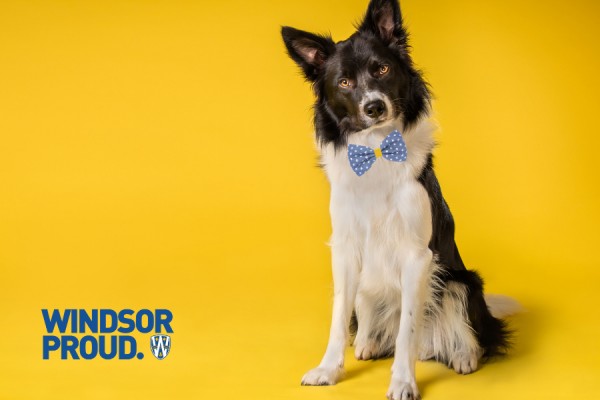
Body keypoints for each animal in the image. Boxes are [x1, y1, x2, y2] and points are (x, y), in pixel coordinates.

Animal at [282, 0, 520, 400]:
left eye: (382, 68)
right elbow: (338, 317)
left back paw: (464, 355)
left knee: (463, 331)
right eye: (344, 82)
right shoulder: (345, 249)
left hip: (460, 282)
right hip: (370, 286)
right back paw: (368, 342)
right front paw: (329, 370)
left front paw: (403, 382)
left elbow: (409, 329)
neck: (377, 150)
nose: (374, 107)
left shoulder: (417, 255)